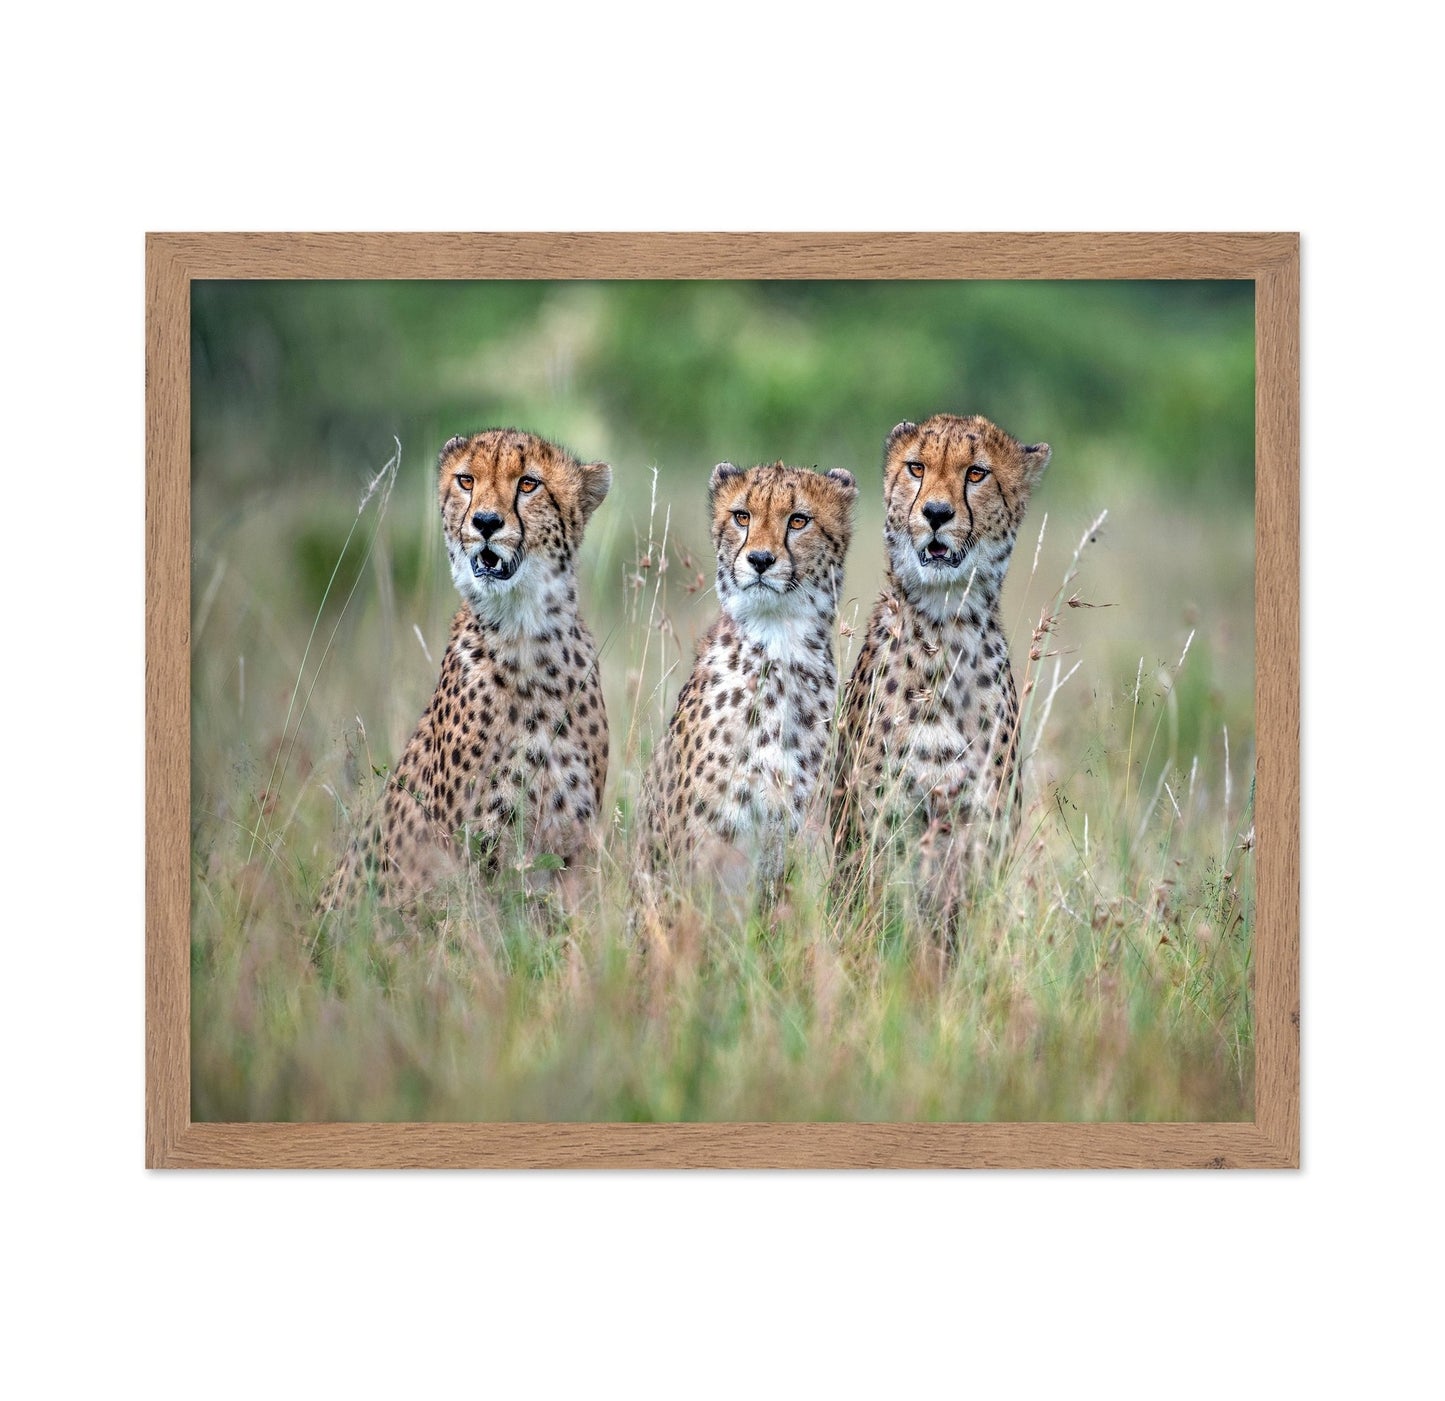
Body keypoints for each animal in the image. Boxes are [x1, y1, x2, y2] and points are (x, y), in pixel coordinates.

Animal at [319, 428, 613, 914]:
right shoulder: (470, 851)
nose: (486, 523)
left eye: (528, 484)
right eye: (466, 480)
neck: (525, 633)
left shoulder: (573, 847)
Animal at [831, 413, 1051, 917]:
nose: (935, 513)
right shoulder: (883, 830)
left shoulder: (983, 831)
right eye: (916, 468)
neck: (946, 625)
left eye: (977, 473)